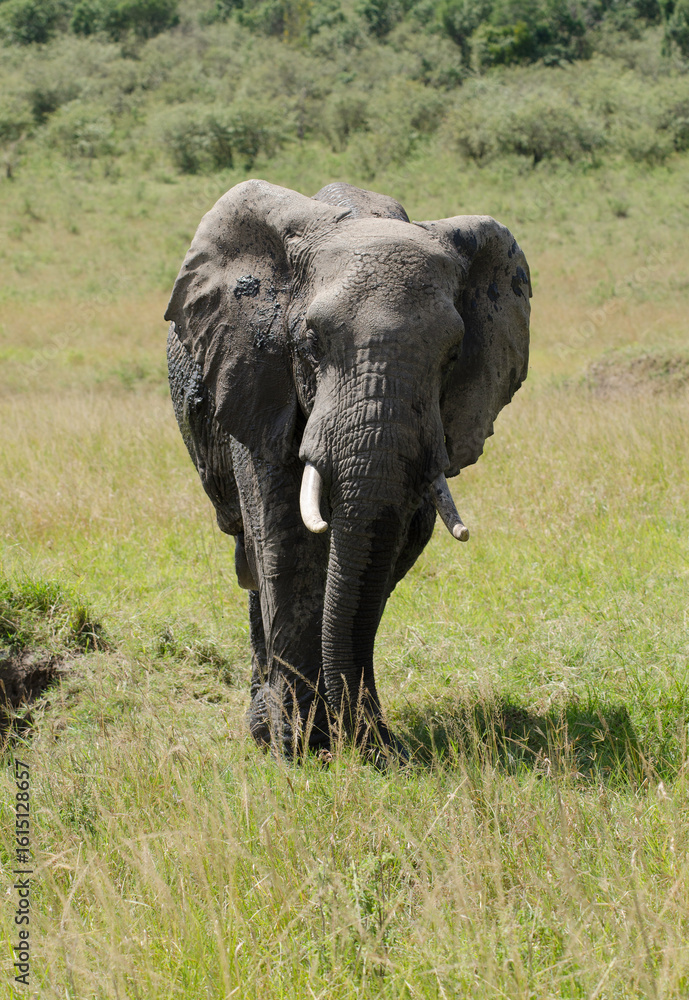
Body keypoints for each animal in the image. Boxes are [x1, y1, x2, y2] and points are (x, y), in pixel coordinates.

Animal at [165, 179, 530, 760]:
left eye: (453, 356)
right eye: (310, 342)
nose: (374, 743)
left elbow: (388, 553)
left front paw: (366, 744)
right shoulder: (256, 375)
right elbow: (282, 541)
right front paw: (296, 748)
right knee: (251, 559)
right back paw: (264, 724)